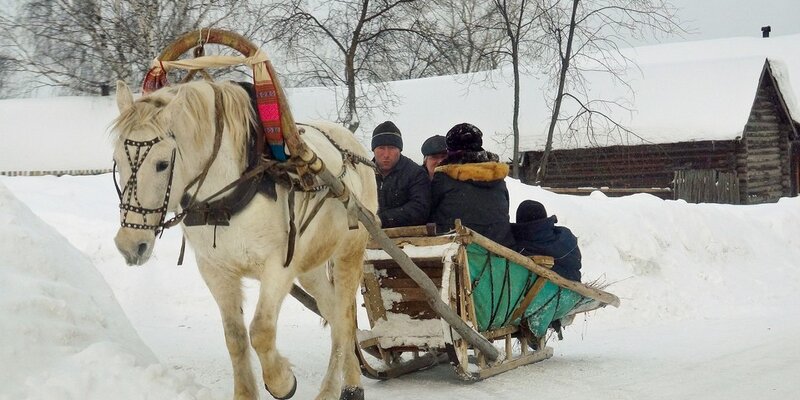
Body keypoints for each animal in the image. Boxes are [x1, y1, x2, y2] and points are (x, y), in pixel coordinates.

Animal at [111, 79, 380, 400]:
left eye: (162, 164)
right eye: (116, 161)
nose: (129, 244)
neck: (226, 198)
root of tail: (353, 145)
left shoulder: (279, 266)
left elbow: (261, 331)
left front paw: (282, 381)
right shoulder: (215, 270)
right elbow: (235, 337)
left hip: (350, 251)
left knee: (344, 318)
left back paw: (336, 389)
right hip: (312, 264)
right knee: (335, 313)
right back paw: (347, 385)